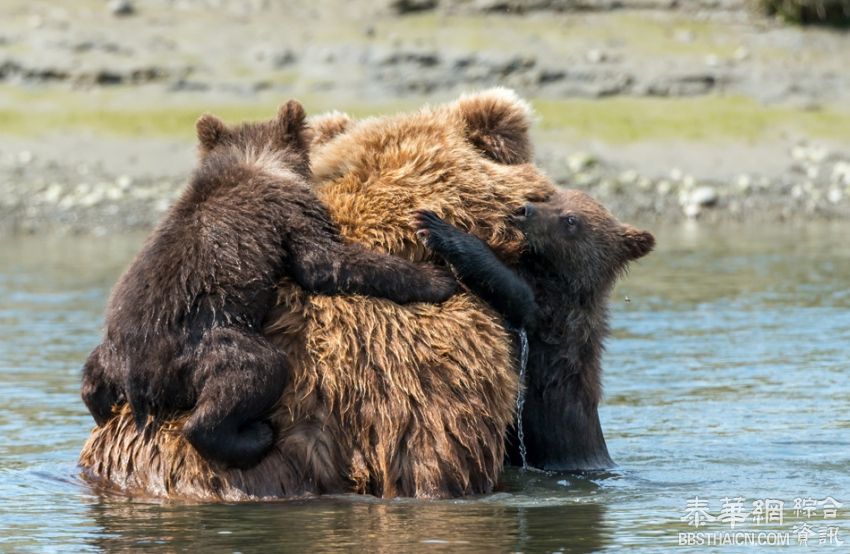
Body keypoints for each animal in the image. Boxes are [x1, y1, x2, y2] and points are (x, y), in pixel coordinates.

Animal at [78, 88, 556, 498]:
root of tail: (140, 380)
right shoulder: (426, 393)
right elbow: (325, 261)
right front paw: (435, 278)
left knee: (93, 380)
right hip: (215, 356)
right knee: (250, 377)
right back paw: (248, 435)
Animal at [414, 190, 652, 470]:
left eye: (570, 219)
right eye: (554, 198)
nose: (525, 210)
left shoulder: (551, 317)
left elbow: (510, 289)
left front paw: (435, 227)